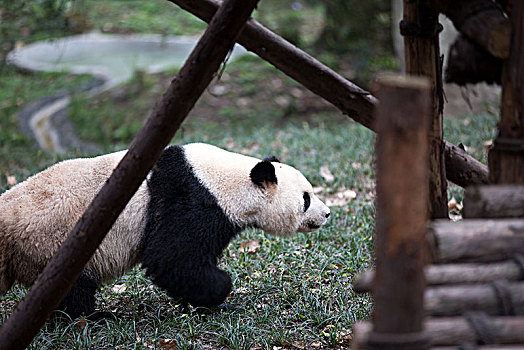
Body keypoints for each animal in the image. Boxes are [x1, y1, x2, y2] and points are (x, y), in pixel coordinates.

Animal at [0, 143, 328, 320]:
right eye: (306, 198)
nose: (326, 213)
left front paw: (194, 300)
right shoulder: (188, 198)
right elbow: (170, 256)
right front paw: (218, 291)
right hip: (51, 243)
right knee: (71, 289)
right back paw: (95, 318)